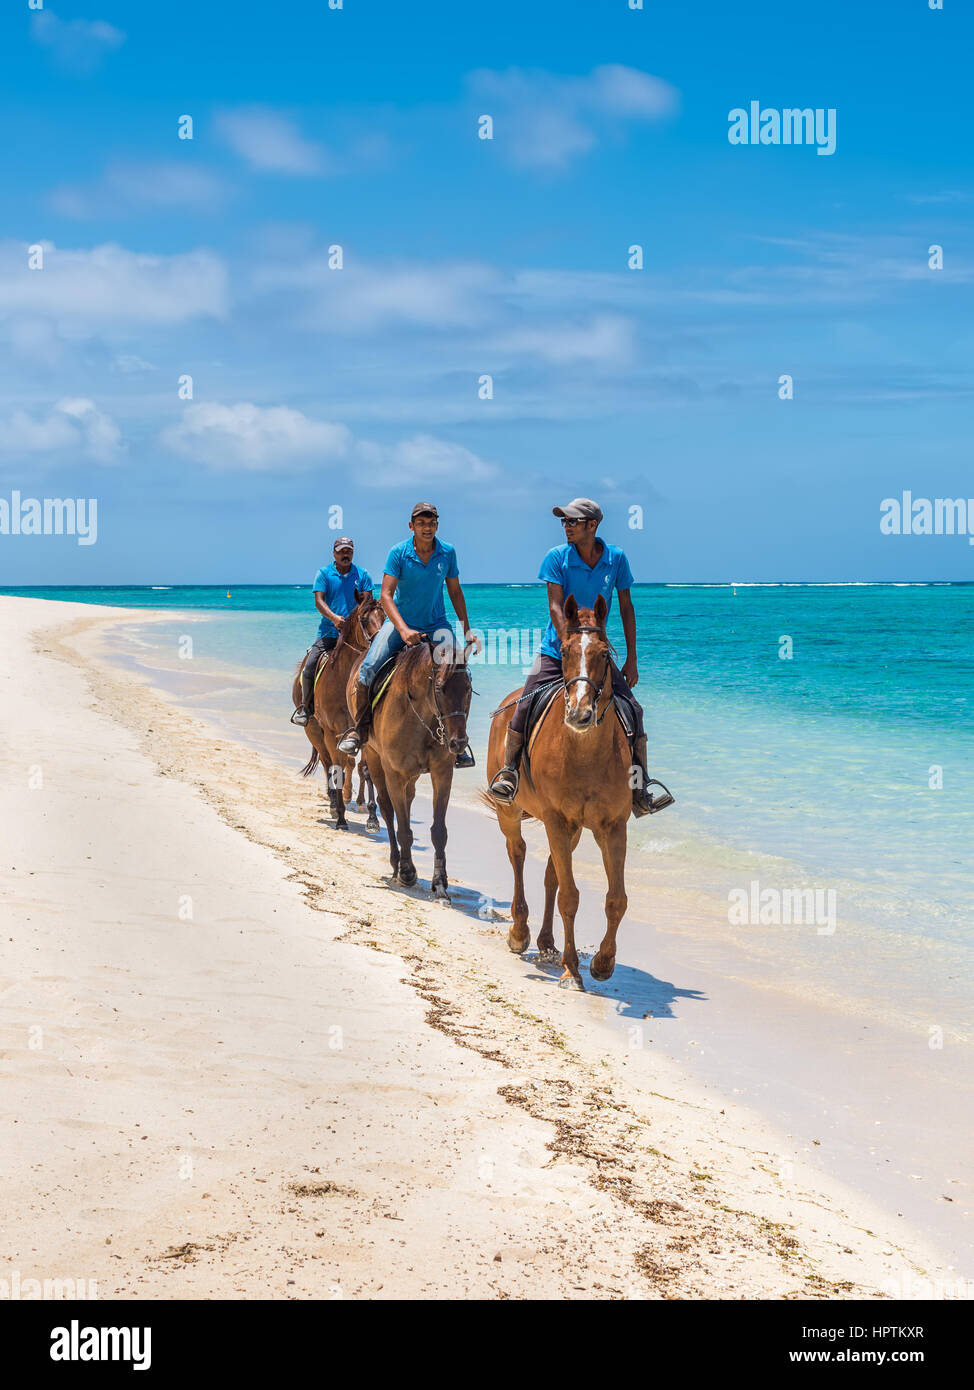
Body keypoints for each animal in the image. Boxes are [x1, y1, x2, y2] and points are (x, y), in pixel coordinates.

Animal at [292, 593, 385, 830]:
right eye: (364, 619)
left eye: (386, 617)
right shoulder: (333, 732)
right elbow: (337, 768)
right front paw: (341, 816)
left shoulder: (362, 734)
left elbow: (365, 769)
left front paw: (372, 817)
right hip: (315, 732)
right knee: (328, 765)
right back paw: (334, 804)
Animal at [348, 635, 472, 901]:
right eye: (440, 688)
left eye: (467, 688)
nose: (458, 743)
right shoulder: (394, 774)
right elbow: (402, 826)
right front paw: (406, 872)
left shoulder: (442, 773)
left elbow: (439, 830)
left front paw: (440, 884)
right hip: (374, 759)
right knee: (387, 810)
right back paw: (397, 863)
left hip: (412, 776)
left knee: (407, 800)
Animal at [483, 594, 630, 988]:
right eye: (564, 651)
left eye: (605, 654)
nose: (580, 714)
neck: (585, 753)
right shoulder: (555, 819)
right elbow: (570, 897)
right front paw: (571, 971)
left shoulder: (612, 827)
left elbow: (616, 898)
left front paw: (603, 963)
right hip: (511, 812)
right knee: (517, 853)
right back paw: (519, 933)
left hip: (573, 829)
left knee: (551, 873)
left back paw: (547, 943)